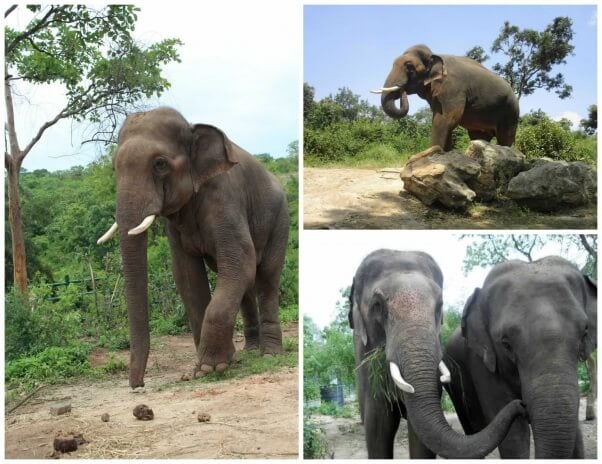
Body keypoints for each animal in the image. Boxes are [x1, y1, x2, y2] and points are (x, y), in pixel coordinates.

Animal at [96, 107, 288, 390]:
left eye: (160, 164)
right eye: (113, 167)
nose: (138, 385)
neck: (192, 127)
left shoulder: (226, 199)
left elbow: (240, 260)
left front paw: (210, 367)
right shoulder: (175, 226)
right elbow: (187, 276)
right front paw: (209, 367)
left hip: (279, 220)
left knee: (266, 276)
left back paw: (270, 354)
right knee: (246, 283)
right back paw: (250, 350)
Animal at [370, 44, 516, 150]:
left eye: (409, 67)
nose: (402, 90)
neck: (434, 55)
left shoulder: (452, 88)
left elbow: (445, 120)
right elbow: (443, 121)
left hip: (509, 111)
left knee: (505, 138)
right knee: (478, 136)